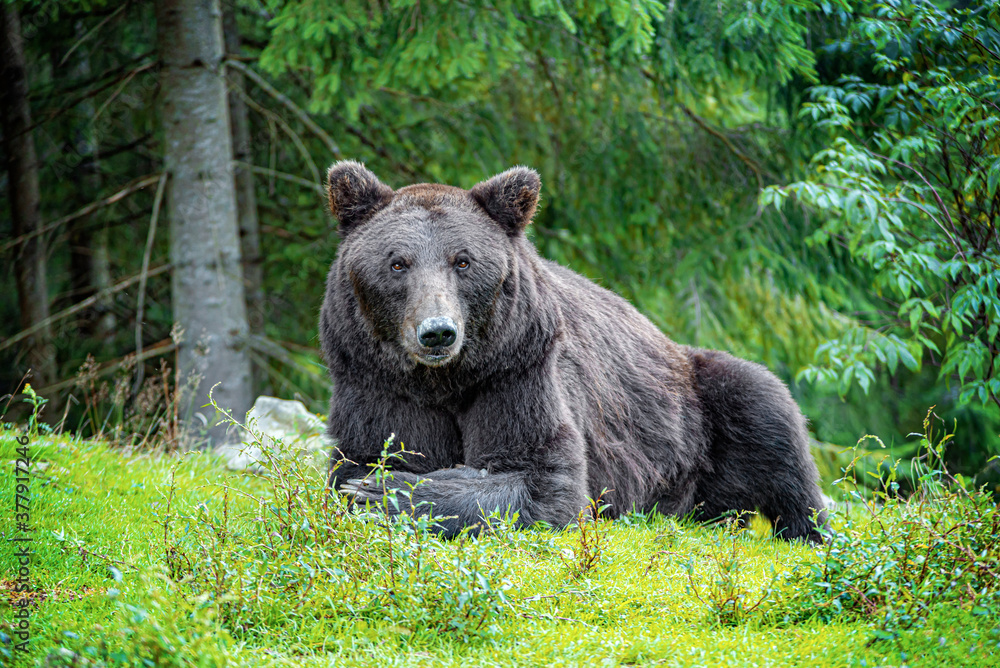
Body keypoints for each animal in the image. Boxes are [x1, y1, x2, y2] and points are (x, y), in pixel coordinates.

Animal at [320, 160, 828, 544]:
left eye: (462, 261)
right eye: (397, 263)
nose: (438, 333)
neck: (446, 380)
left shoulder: (517, 369)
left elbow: (545, 479)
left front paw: (386, 493)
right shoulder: (379, 382)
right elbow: (372, 450)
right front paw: (372, 484)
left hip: (700, 400)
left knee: (771, 420)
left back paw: (808, 529)